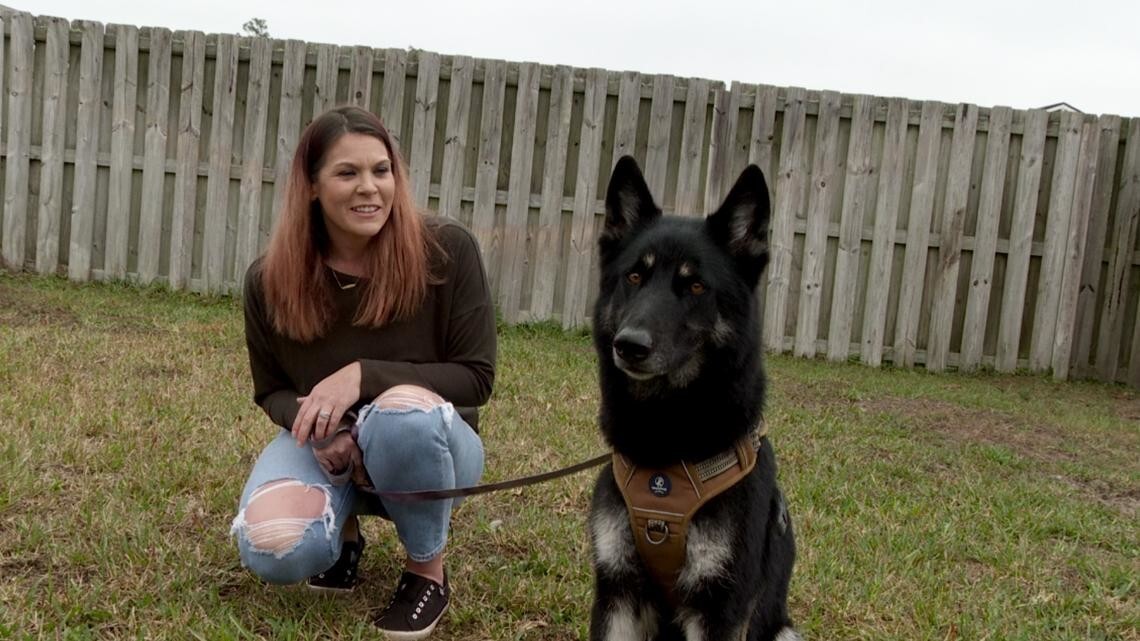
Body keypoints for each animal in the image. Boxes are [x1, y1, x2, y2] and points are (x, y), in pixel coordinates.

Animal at [588, 156, 802, 638]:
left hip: (785, 631)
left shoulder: (719, 609)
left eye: (697, 286)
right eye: (634, 276)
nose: (629, 345)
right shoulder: (617, 592)